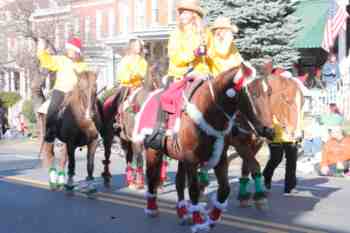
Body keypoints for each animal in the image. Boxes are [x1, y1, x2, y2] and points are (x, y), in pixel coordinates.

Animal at [138, 63, 274, 233]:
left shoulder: (221, 158)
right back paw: (152, 209)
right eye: (253, 93)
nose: (268, 130)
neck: (208, 112)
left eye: (270, 92)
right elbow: (194, 190)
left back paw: (183, 213)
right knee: (152, 176)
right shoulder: (192, 159)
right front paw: (199, 221)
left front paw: (211, 220)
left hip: (180, 156)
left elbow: (225, 189)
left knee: (179, 182)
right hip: (154, 151)